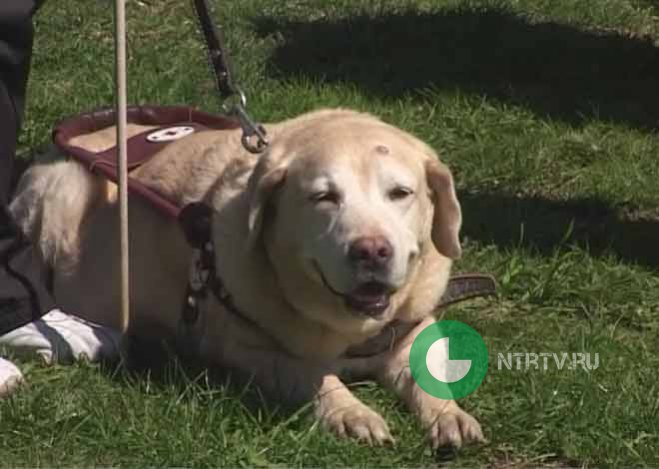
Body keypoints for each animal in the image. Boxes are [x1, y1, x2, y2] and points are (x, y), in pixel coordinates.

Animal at [9, 108, 484, 448]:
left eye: (400, 193)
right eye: (323, 197)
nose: (371, 250)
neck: (348, 330)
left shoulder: (416, 324)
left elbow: (427, 372)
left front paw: (449, 416)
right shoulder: (246, 348)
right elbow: (310, 375)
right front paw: (352, 413)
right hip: (55, 208)